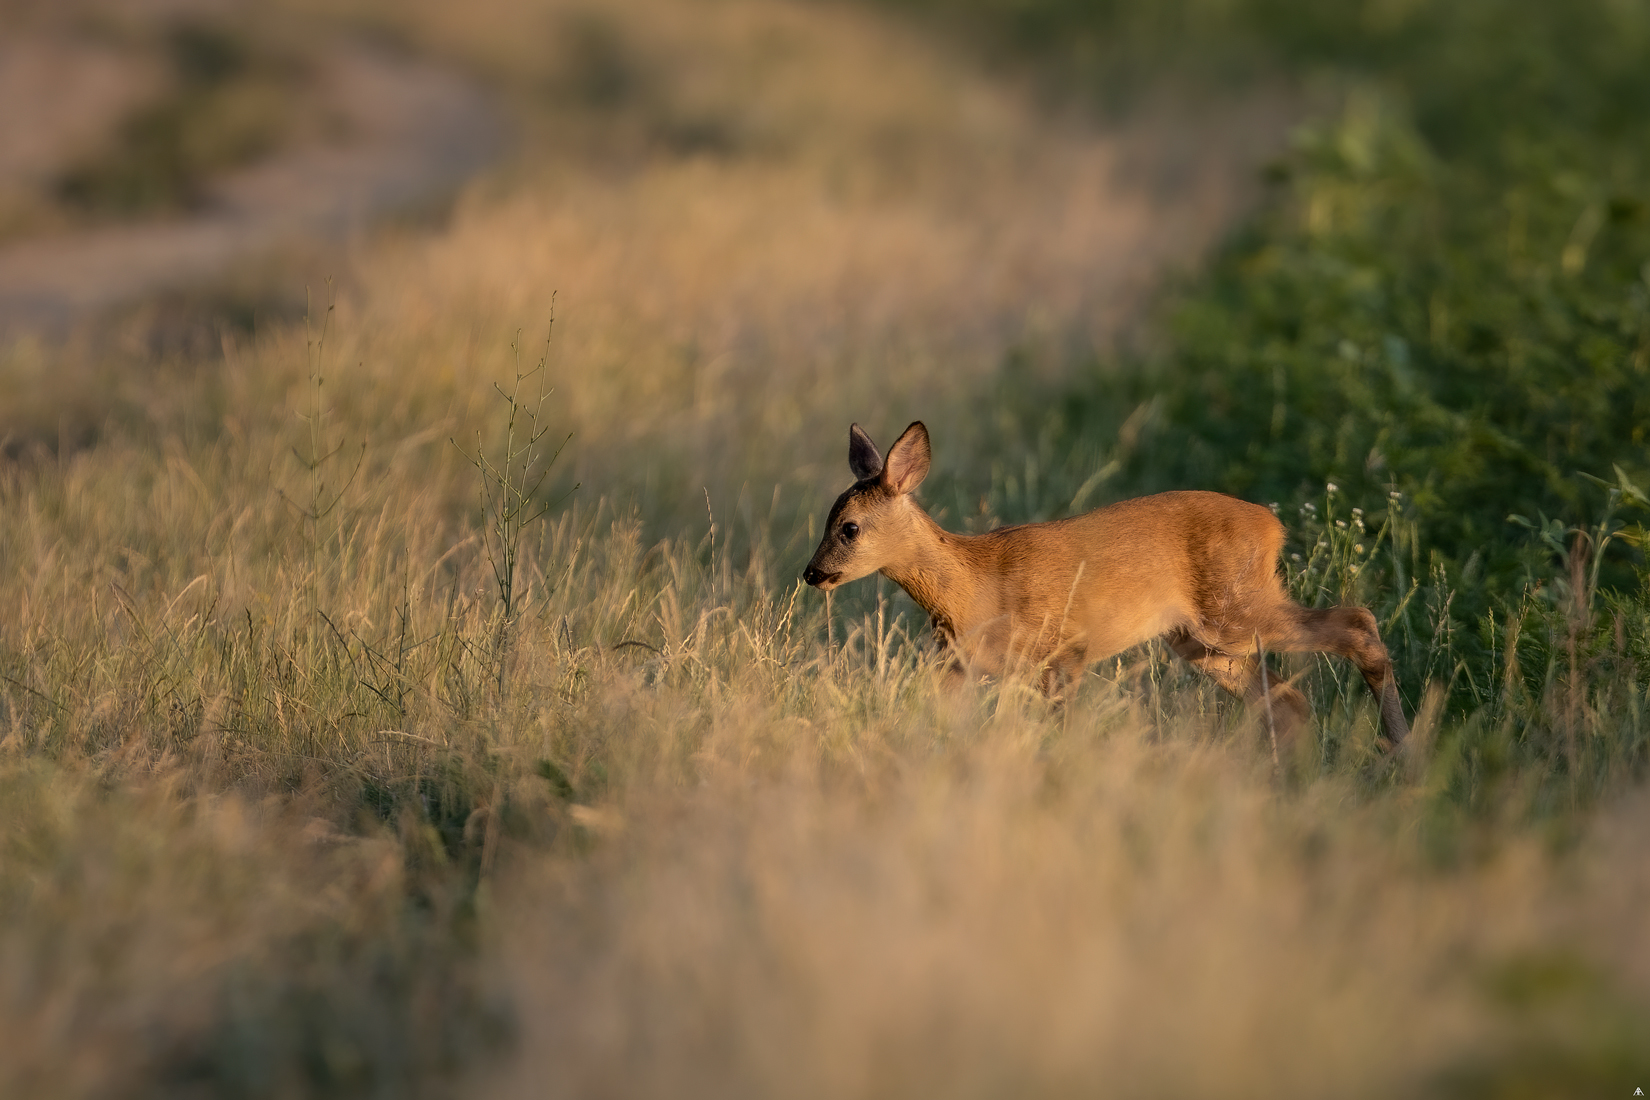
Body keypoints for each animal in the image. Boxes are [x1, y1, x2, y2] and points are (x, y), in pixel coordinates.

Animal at [802, 421, 1410, 746]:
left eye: (849, 527)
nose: (811, 573)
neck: (973, 589)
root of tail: (1272, 523)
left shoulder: (1064, 647)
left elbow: (1060, 729)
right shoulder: (961, 666)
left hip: (1233, 612)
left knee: (1357, 623)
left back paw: (1404, 754)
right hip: (1200, 640)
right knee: (1289, 700)